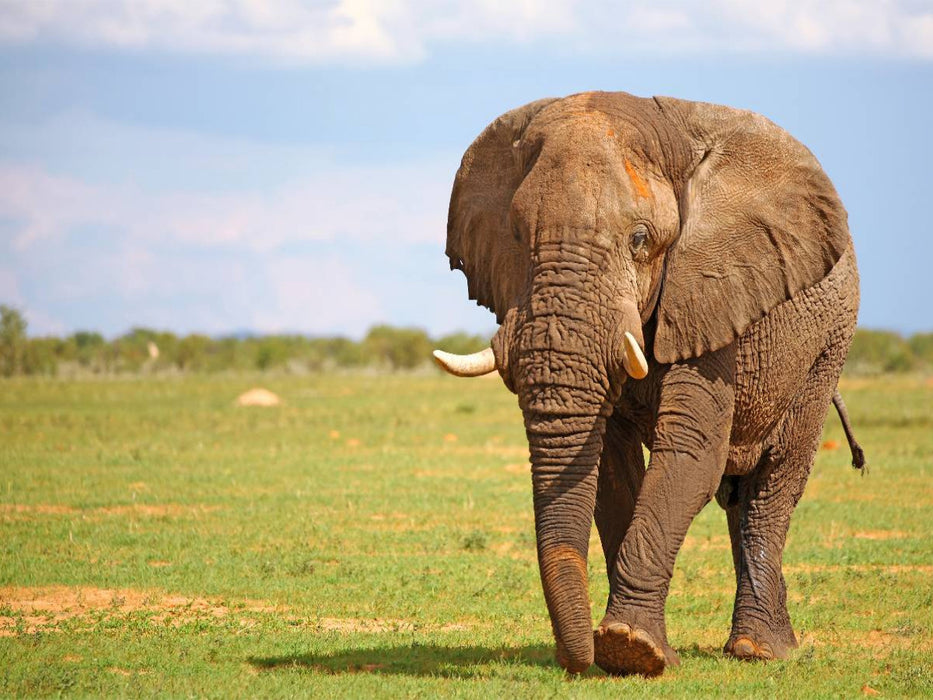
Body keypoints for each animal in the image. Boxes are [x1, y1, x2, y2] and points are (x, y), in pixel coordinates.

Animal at [432, 92, 863, 677]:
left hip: (825, 348)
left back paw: (758, 651)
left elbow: (690, 455)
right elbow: (610, 469)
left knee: (774, 483)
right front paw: (623, 650)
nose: (574, 661)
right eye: (517, 236)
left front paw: (629, 647)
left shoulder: (711, 290)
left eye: (640, 240)